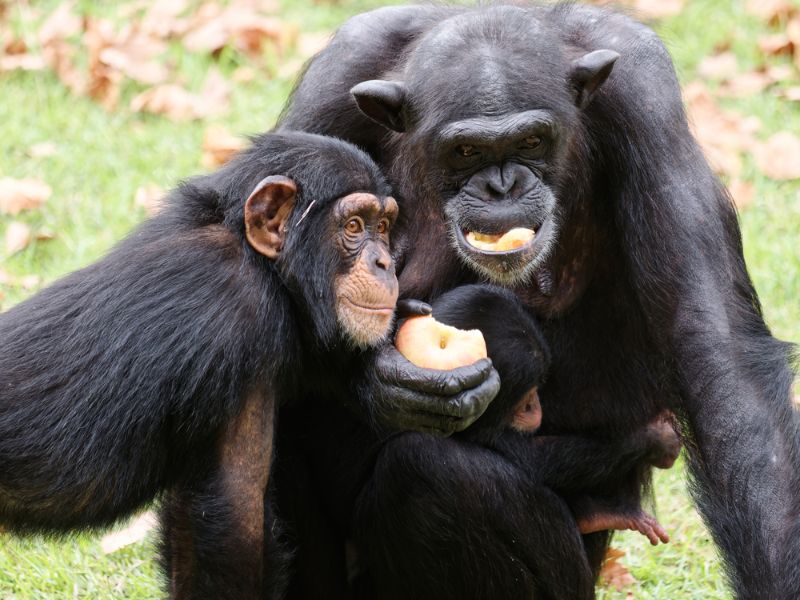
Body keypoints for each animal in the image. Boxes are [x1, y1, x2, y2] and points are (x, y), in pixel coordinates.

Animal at [0, 132, 400, 600]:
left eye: (383, 227)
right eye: (354, 226)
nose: (385, 262)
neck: (259, 263)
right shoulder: (236, 313)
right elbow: (233, 509)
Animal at [280, 3, 800, 596]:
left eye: (531, 141)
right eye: (465, 150)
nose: (502, 186)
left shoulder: (648, 104)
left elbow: (719, 354)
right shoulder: (333, 89)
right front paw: (382, 381)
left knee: (434, 473)